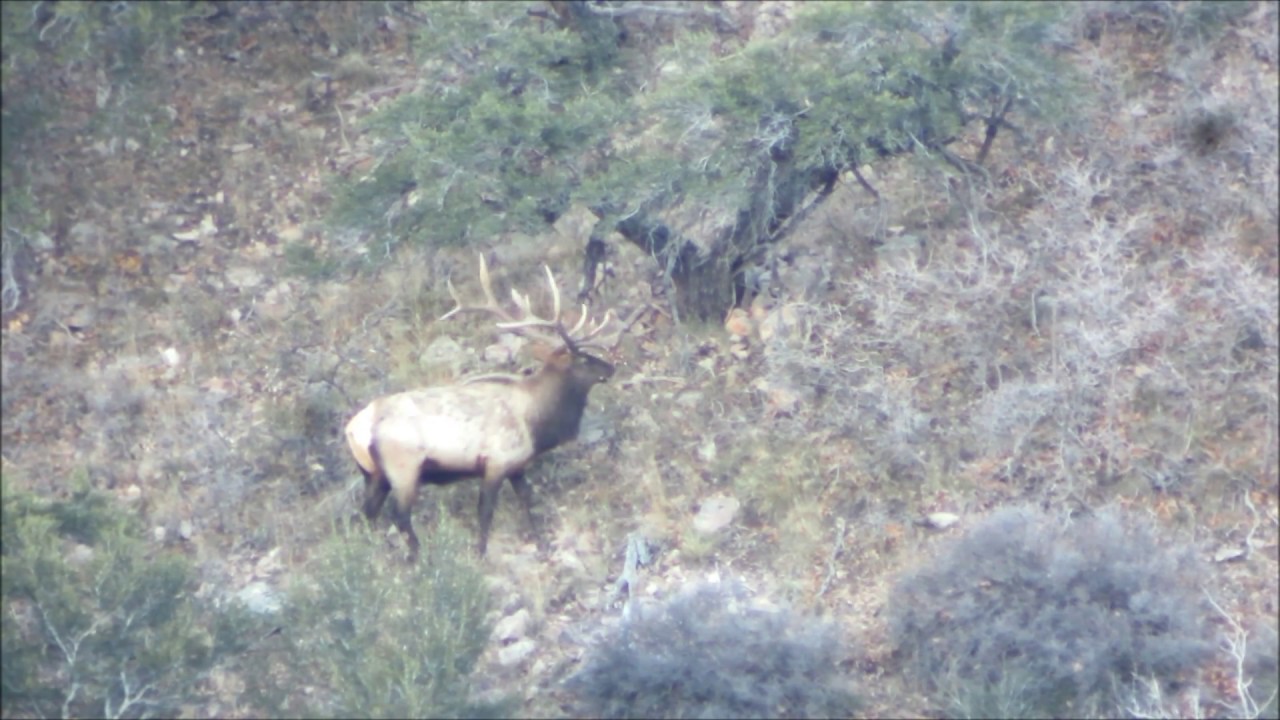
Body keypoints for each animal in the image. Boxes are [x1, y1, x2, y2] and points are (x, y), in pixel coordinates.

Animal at [344, 254, 629, 560]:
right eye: (583, 359)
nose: (611, 367)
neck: (536, 422)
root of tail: (355, 429)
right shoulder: (496, 461)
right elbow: (485, 511)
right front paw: (480, 554)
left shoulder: (517, 465)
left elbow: (526, 500)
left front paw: (543, 545)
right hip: (404, 468)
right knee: (399, 516)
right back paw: (419, 558)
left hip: (373, 475)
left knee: (366, 515)